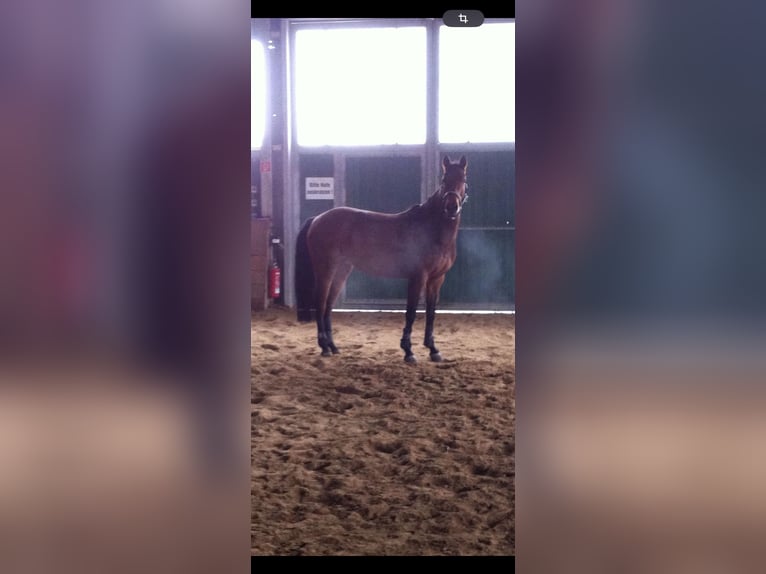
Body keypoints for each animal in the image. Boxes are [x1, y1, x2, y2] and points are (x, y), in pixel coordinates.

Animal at [294, 155, 468, 363]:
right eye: (443, 180)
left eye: (463, 180)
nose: (451, 207)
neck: (431, 229)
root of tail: (317, 219)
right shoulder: (418, 277)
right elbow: (411, 313)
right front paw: (408, 351)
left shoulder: (436, 279)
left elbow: (431, 313)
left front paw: (433, 350)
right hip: (325, 269)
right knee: (320, 303)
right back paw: (324, 347)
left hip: (342, 271)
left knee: (328, 306)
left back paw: (333, 347)